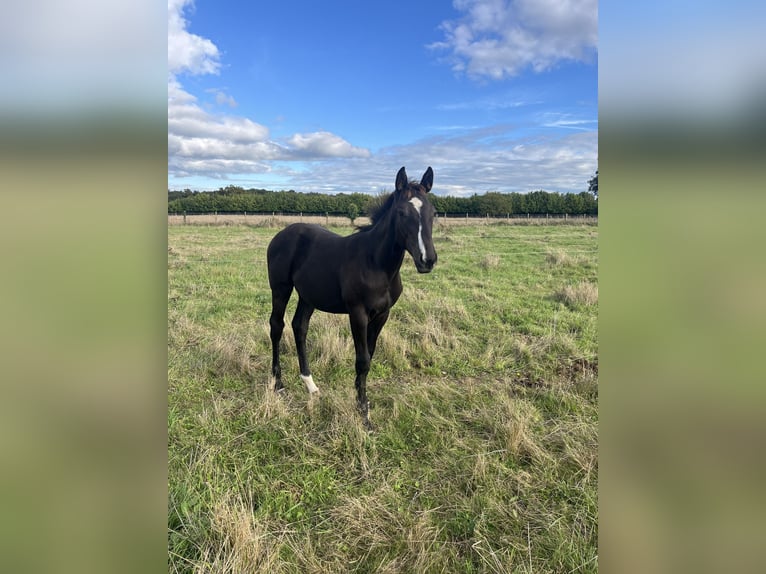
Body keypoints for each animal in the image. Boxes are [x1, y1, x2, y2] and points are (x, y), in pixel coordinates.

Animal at [268, 166, 438, 428]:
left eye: (433, 213)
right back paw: (278, 384)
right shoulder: (358, 313)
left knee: (300, 327)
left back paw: (310, 385)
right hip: (280, 288)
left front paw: (363, 403)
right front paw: (363, 415)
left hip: (308, 295)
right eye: (401, 213)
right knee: (277, 326)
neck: (376, 263)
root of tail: (280, 235)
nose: (427, 260)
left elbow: (370, 355)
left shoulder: (382, 314)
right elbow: (363, 360)